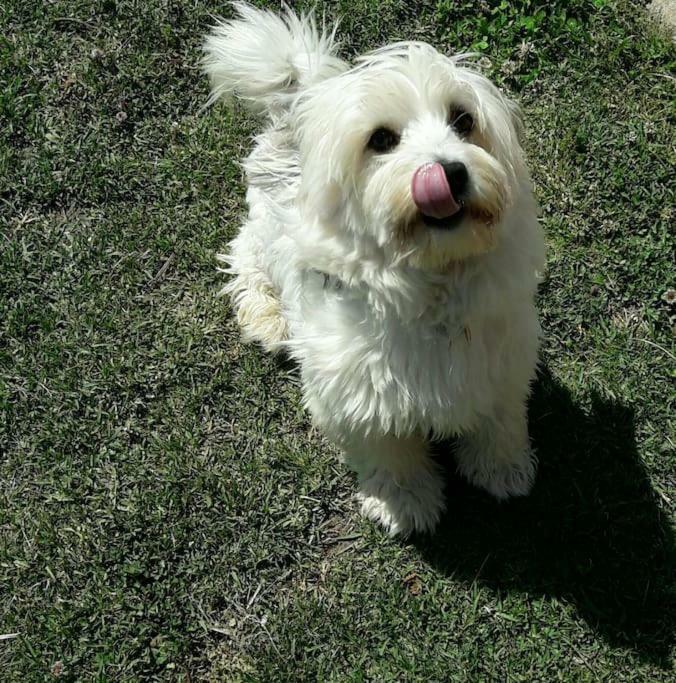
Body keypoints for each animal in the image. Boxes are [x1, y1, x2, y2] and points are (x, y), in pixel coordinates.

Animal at [203, 2, 548, 536]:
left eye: (463, 119)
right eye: (381, 140)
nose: (449, 172)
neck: (432, 285)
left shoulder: (502, 363)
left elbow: (500, 421)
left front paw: (502, 469)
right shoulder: (356, 400)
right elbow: (390, 453)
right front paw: (405, 502)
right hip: (263, 224)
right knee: (245, 253)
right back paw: (267, 317)